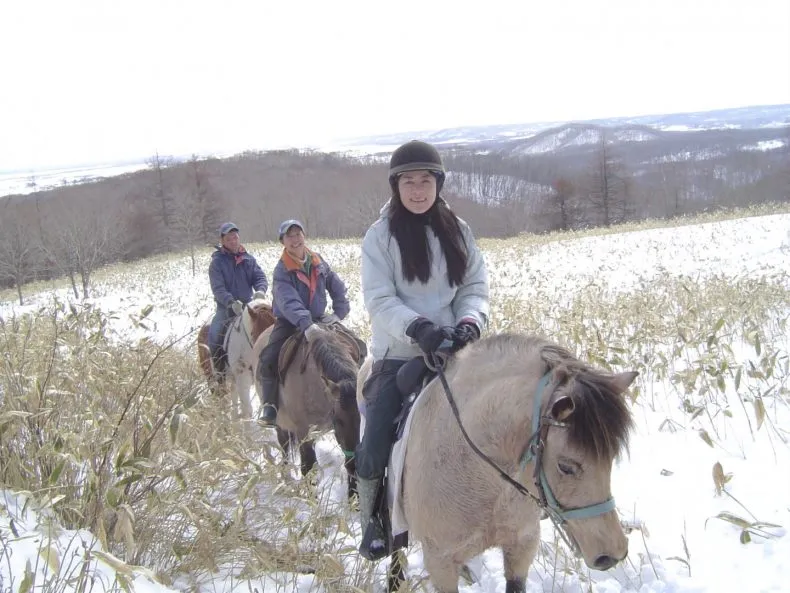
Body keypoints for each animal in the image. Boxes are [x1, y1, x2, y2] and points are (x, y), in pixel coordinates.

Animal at [255, 322, 364, 498]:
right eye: (338, 421)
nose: (356, 466)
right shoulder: (303, 433)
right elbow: (308, 468)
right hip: (282, 425)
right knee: (284, 448)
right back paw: (286, 480)